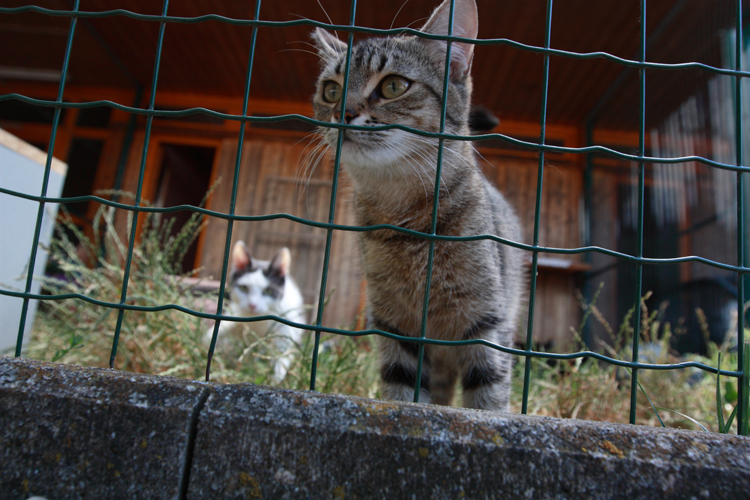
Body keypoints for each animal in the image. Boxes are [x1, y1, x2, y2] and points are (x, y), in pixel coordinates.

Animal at [312, 0, 524, 410]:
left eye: (393, 86)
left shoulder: (485, 321)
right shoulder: (395, 322)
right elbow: (401, 389)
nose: (341, 113)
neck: (404, 213)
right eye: (330, 90)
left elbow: (488, 397)